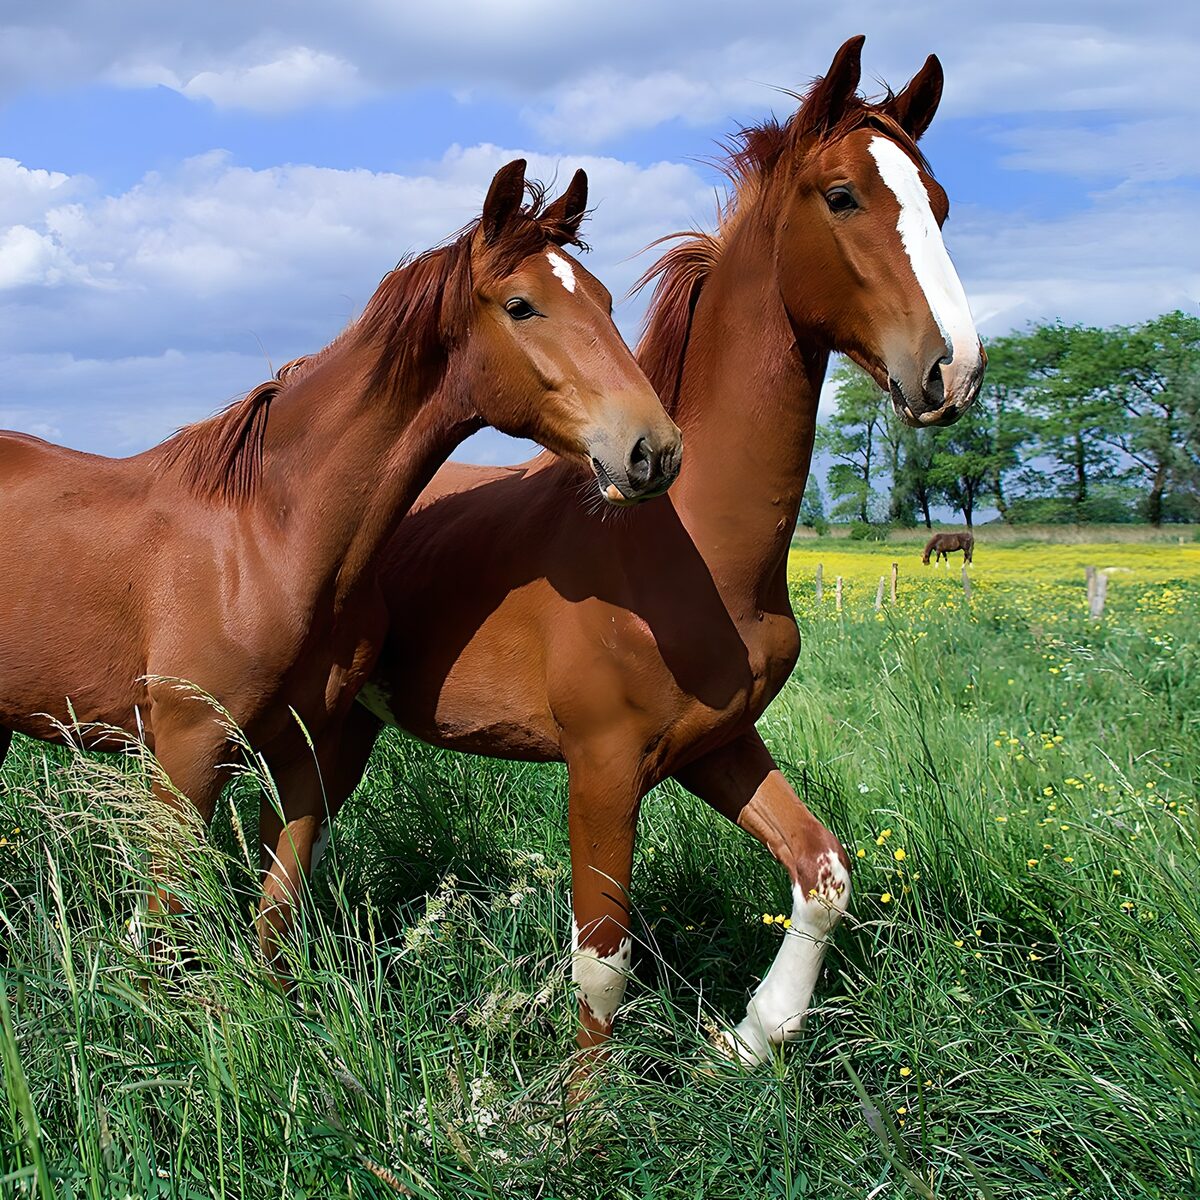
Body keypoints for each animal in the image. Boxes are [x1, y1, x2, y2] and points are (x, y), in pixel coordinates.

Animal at [0, 159, 682, 960]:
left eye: (604, 300)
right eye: (522, 306)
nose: (653, 448)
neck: (269, 541)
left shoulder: (309, 754)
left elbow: (277, 919)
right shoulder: (186, 754)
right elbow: (164, 931)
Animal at [315, 35, 985, 1064]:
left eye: (940, 204)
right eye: (842, 196)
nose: (956, 370)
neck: (688, 551)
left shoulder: (717, 743)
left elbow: (822, 871)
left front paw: (752, 1037)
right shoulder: (602, 769)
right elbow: (602, 963)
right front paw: (586, 1103)